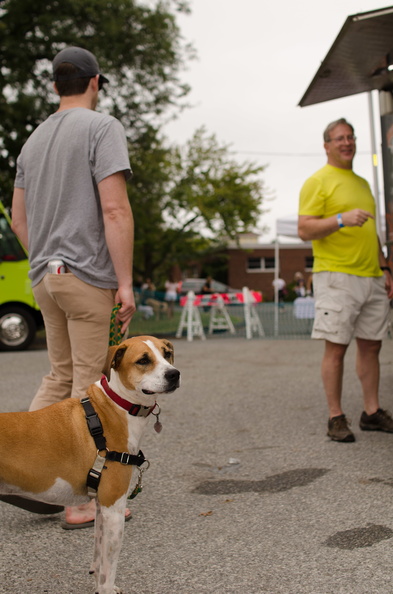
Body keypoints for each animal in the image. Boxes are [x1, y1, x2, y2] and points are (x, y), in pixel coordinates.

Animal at [0, 336, 180, 588]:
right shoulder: (114, 507)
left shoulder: (100, 505)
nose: (174, 374)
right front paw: (108, 588)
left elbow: (98, 554)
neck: (115, 407)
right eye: (143, 360)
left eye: (167, 354)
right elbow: (108, 570)